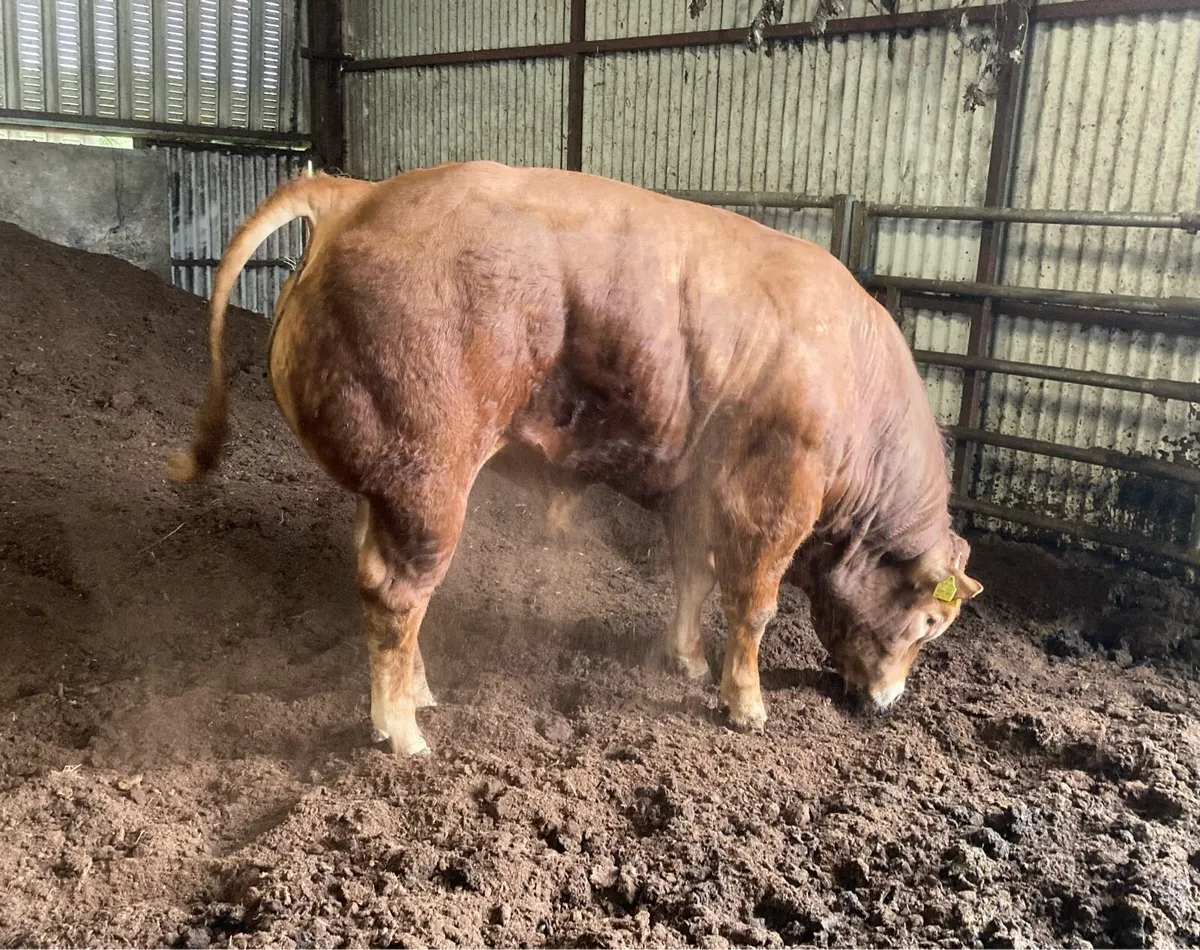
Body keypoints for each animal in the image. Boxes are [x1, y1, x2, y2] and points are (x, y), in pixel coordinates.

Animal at [168, 161, 982, 756]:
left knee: (375, 572)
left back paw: (420, 695)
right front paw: (745, 706)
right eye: (931, 623)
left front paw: (687, 660)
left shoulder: (693, 493)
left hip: (388, 482)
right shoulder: (771, 499)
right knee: (397, 590)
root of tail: (357, 194)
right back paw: (403, 731)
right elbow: (753, 603)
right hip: (430, 476)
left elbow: (691, 574)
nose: (888, 704)